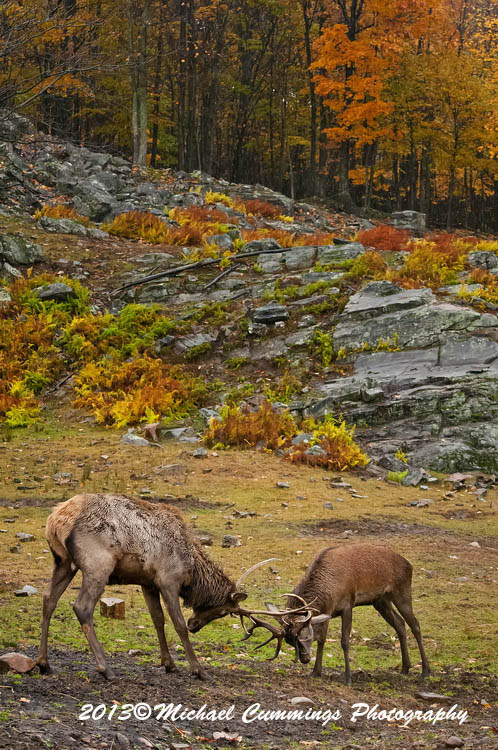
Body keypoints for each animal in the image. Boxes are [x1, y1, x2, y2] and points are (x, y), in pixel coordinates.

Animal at [36, 493, 279, 681]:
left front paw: (168, 663)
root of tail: (56, 520)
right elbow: (177, 624)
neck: (192, 571)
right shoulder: (168, 580)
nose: (195, 624)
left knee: (49, 599)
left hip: (63, 562)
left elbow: (158, 620)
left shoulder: (148, 583)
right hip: (98, 563)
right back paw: (106, 669)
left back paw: (44, 663)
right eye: (223, 612)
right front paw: (198, 669)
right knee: (82, 607)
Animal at [241, 544, 430, 685]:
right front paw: (316, 672)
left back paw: (425, 671)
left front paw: (348, 678)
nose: (304, 659)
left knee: (415, 625)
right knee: (400, 624)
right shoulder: (327, 611)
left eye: (303, 636)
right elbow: (322, 639)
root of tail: (409, 564)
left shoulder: (347, 605)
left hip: (402, 590)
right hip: (380, 600)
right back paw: (405, 668)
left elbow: (344, 641)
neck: (329, 588)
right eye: (289, 641)